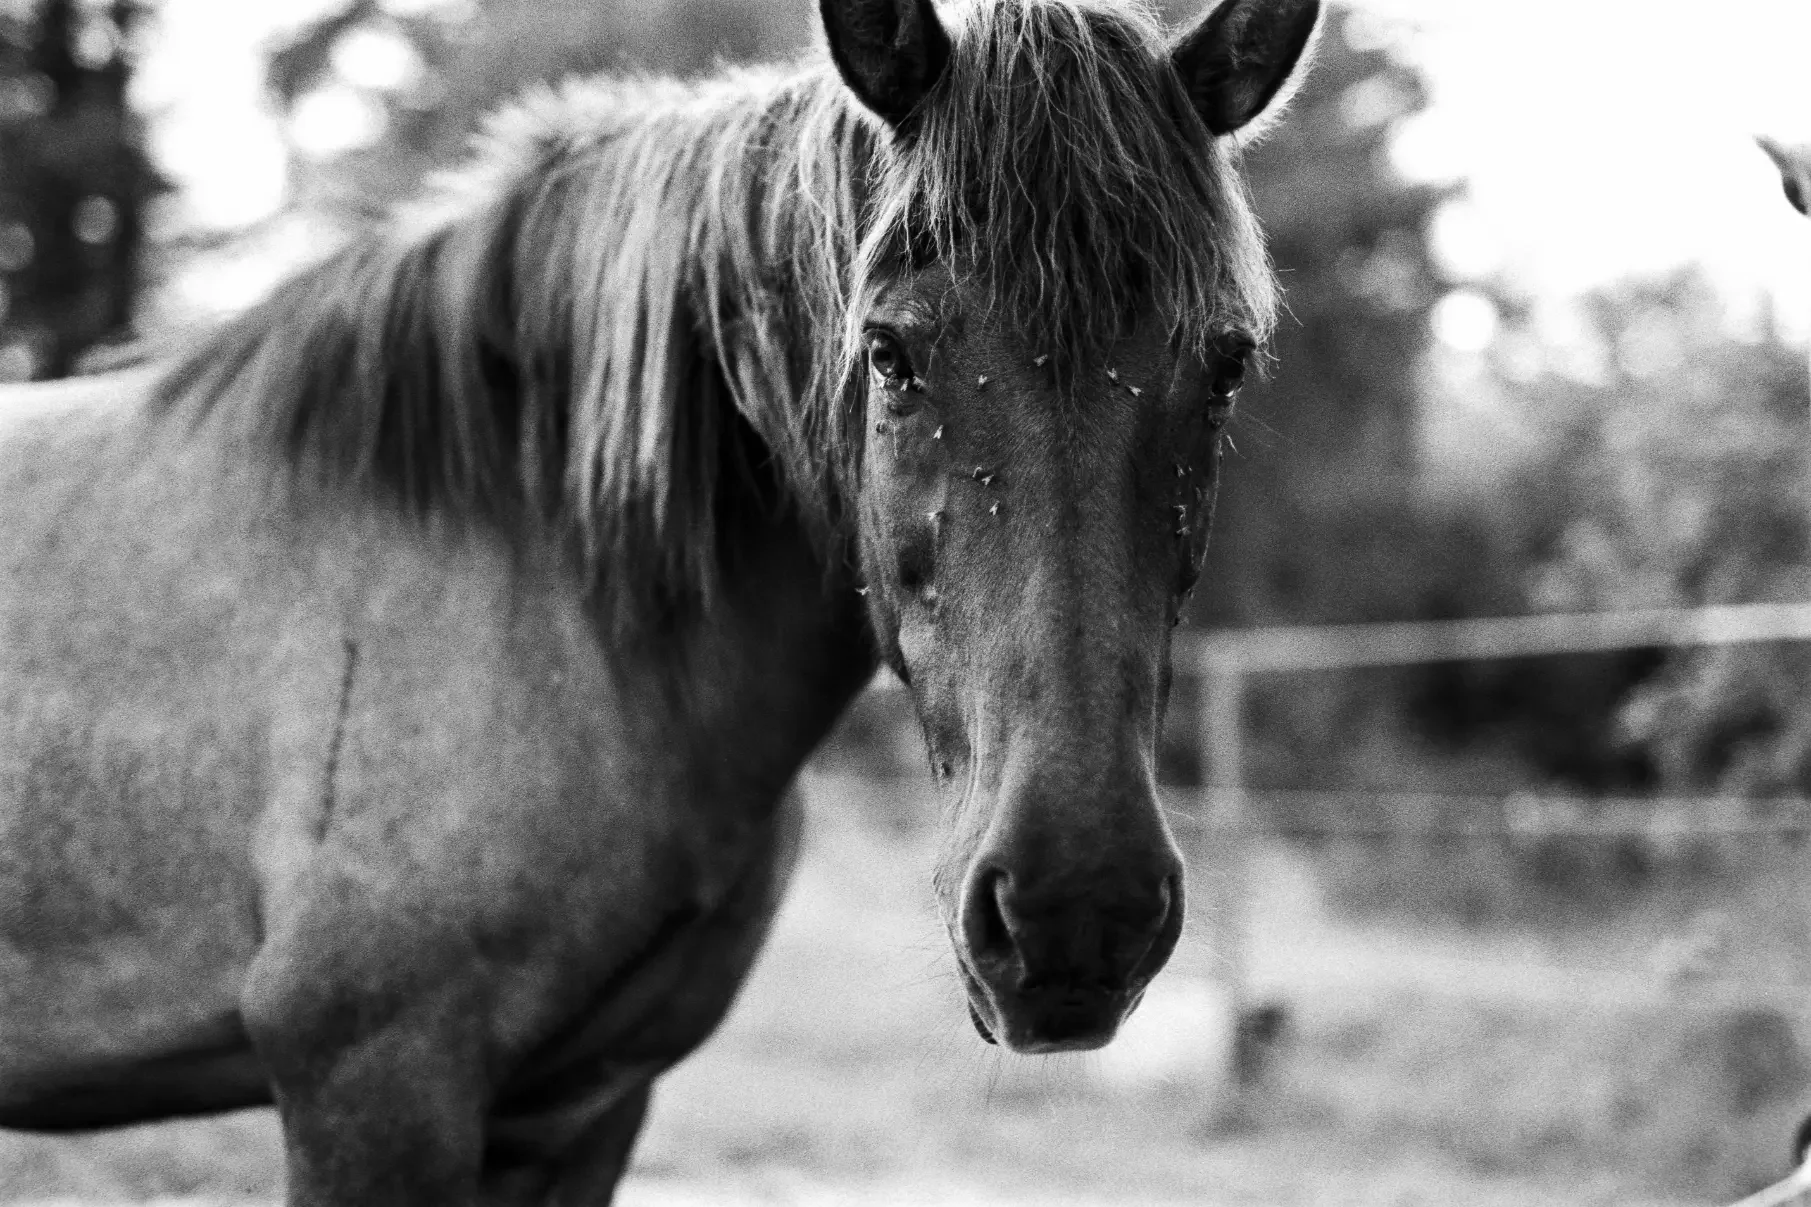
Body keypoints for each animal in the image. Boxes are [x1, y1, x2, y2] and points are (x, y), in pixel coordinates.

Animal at [0, 0, 1319, 1201]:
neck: (545, 579)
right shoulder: (369, 1087)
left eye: (1225, 364)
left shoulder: (583, 1111)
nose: (1072, 909)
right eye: (888, 353)